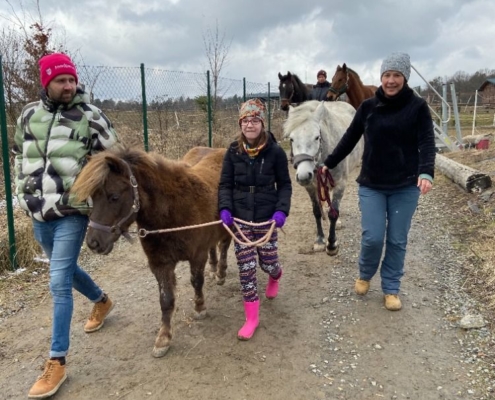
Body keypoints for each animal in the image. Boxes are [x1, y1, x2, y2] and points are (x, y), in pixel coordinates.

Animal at [70, 145, 232, 358]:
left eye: (114, 196)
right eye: (93, 198)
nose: (93, 243)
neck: (172, 212)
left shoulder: (197, 256)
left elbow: (197, 282)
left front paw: (199, 308)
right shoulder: (160, 264)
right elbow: (166, 300)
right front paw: (163, 338)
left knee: (224, 246)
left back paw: (220, 273)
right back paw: (214, 270)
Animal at [284, 101, 362, 255]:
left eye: (316, 137)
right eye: (291, 139)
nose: (303, 176)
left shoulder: (340, 184)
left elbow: (333, 213)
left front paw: (332, 244)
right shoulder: (311, 187)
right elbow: (316, 212)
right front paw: (320, 241)